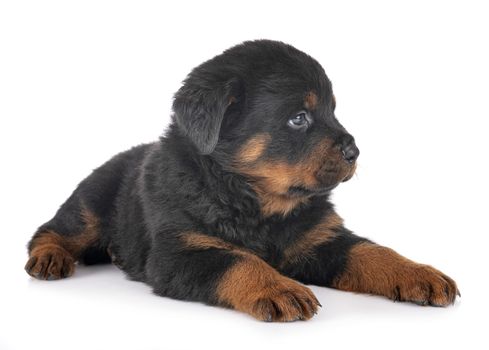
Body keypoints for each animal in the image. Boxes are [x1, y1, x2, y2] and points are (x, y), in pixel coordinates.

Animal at [23, 39, 458, 322]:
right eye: (298, 118)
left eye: (333, 111)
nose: (354, 151)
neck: (254, 201)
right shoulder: (182, 251)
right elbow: (238, 260)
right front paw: (278, 287)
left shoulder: (321, 239)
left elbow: (371, 252)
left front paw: (419, 273)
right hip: (91, 200)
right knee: (52, 229)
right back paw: (49, 257)